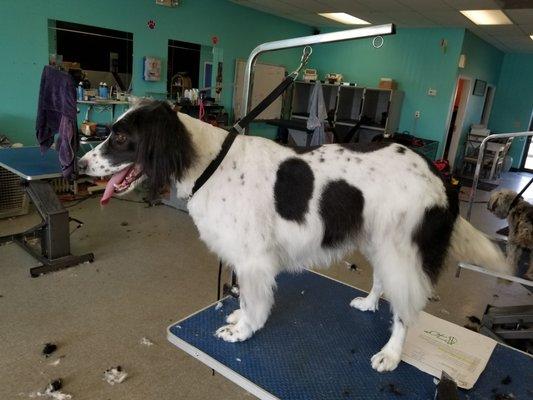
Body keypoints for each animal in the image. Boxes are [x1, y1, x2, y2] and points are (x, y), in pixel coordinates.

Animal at [79, 100, 508, 372]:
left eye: (121, 138)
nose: (79, 164)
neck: (209, 163)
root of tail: (436, 172)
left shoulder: (253, 260)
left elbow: (254, 302)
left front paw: (242, 330)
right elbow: (246, 299)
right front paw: (239, 317)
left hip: (402, 252)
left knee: (405, 309)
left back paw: (391, 354)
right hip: (378, 241)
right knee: (382, 282)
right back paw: (369, 305)